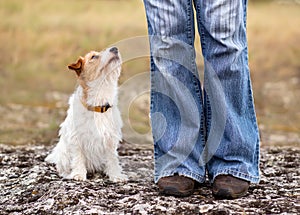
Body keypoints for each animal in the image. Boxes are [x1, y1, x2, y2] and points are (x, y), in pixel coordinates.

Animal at [45, 46, 127, 181]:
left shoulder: (110, 138)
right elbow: (78, 157)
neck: (99, 103)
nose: (115, 48)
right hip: (63, 154)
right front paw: (78, 174)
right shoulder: (76, 138)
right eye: (93, 56)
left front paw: (116, 175)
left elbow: (112, 158)